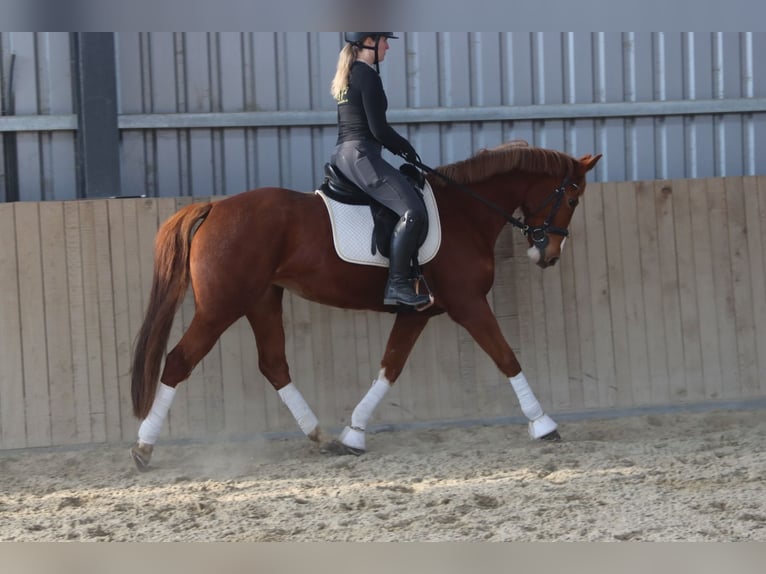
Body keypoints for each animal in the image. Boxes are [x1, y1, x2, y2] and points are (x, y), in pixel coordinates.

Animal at [129, 143, 604, 472]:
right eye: (573, 199)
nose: (548, 256)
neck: (464, 214)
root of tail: (213, 207)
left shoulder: (417, 312)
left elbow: (389, 368)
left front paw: (353, 434)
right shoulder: (469, 305)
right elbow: (506, 357)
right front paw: (544, 424)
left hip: (262, 300)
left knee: (274, 365)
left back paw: (321, 437)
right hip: (221, 307)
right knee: (179, 361)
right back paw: (143, 447)